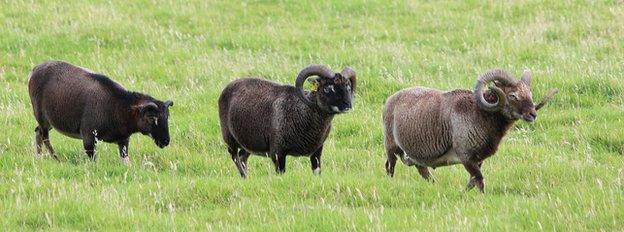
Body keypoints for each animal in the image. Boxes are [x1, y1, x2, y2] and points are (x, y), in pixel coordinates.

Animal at [27, 60, 173, 164]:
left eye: (167, 117)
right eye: (151, 117)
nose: (165, 141)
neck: (118, 106)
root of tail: (35, 70)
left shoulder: (124, 140)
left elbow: (125, 160)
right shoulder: (88, 137)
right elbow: (93, 160)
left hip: (50, 121)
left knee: (38, 132)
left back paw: (39, 157)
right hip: (41, 116)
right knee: (44, 137)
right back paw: (56, 159)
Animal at [218, 64, 356, 177]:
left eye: (348, 87)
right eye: (328, 88)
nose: (347, 106)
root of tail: (228, 87)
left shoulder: (317, 152)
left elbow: (317, 172)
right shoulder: (277, 153)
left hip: (250, 142)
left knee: (242, 157)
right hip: (230, 138)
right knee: (234, 156)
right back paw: (244, 176)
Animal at [382, 69, 560, 192]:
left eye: (529, 93)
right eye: (512, 95)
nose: (532, 114)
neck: (479, 114)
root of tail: (391, 99)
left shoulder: (478, 159)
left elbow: (473, 181)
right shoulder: (466, 157)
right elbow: (479, 180)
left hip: (417, 155)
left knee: (422, 170)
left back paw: (435, 185)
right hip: (391, 145)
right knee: (390, 166)